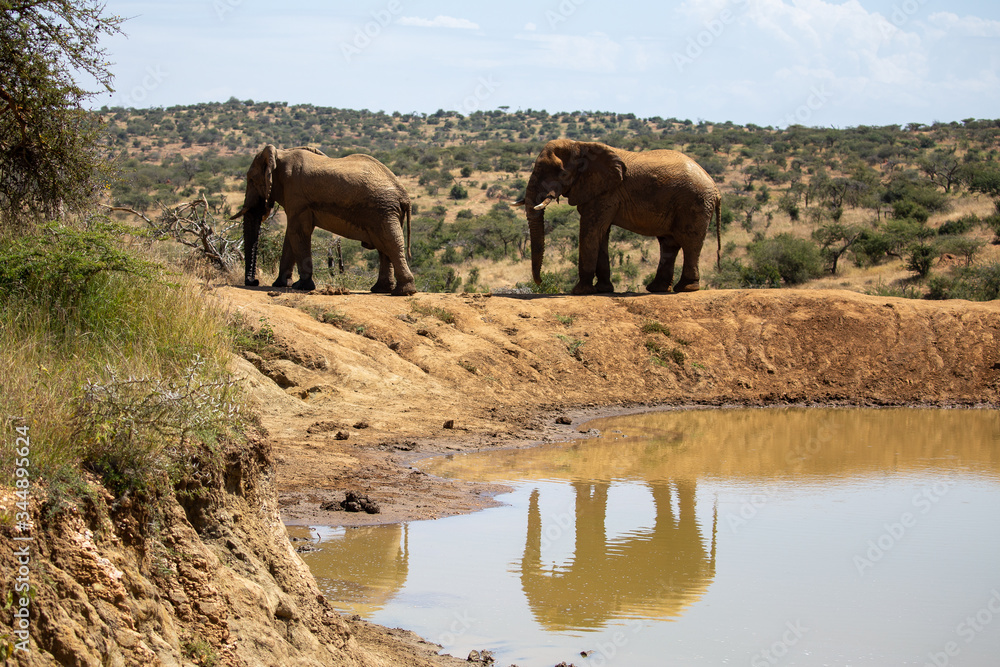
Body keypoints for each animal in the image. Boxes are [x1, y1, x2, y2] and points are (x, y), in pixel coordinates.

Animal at [231, 145, 416, 295]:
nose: (253, 282)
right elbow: (291, 236)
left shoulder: (297, 197)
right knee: (383, 246)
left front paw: (301, 286)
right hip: (384, 212)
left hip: (382, 210)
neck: (280, 154)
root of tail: (404, 196)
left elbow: (298, 232)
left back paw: (402, 292)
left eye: (251, 180)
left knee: (390, 243)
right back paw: (380, 290)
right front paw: (280, 284)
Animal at [513, 139, 722, 295]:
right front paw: (603, 289)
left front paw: (580, 291)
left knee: (690, 242)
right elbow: (601, 233)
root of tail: (715, 187)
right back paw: (657, 289)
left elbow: (591, 230)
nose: (540, 282)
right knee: (669, 244)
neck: (580, 145)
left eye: (562, 172)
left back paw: (686, 288)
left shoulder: (607, 193)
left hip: (695, 202)